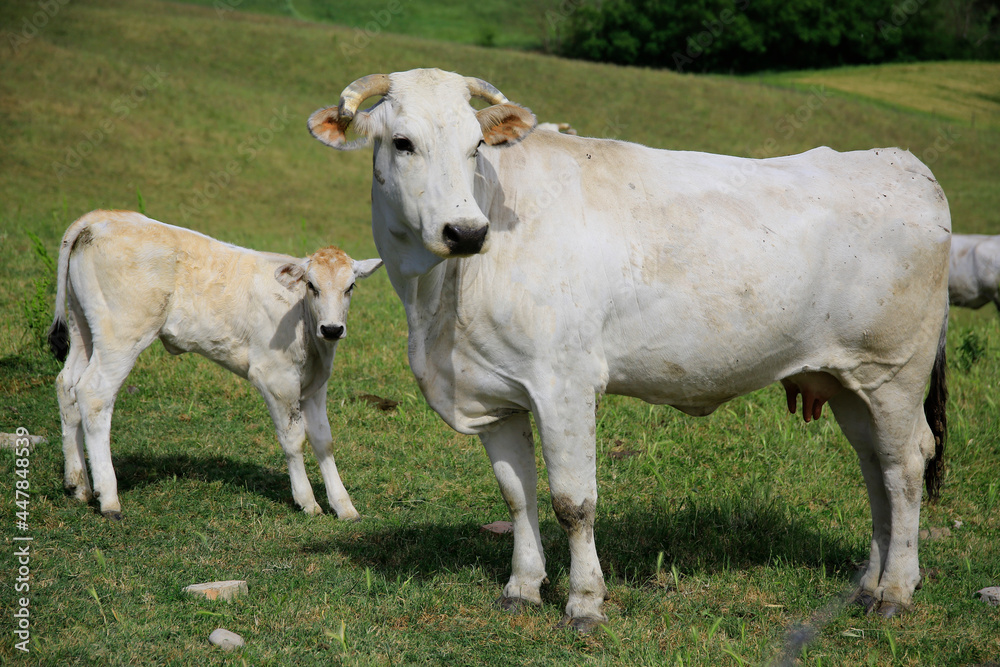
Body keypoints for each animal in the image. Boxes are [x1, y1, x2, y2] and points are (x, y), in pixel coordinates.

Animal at [46, 211, 382, 524]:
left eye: (350, 286)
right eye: (311, 285)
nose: (332, 329)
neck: (304, 324)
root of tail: (101, 217)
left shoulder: (314, 385)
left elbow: (324, 440)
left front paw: (344, 505)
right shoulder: (276, 379)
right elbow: (294, 439)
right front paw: (307, 501)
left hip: (83, 329)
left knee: (67, 386)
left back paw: (78, 485)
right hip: (121, 336)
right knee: (94, 395)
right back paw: (108, 498)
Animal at [308, 68, 948, 632]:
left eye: (475, 146)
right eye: (402, 142)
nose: (466, 232)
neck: (435, 302)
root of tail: (900, 162)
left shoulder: (563, 384)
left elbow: (573, 501)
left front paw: (585, 602)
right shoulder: (497, 393)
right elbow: (517, 496)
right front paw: (522, 588)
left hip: (895, 371)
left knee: (906, 464)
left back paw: (896, 591)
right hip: (848, 380)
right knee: (874, 465)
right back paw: (867, 585)